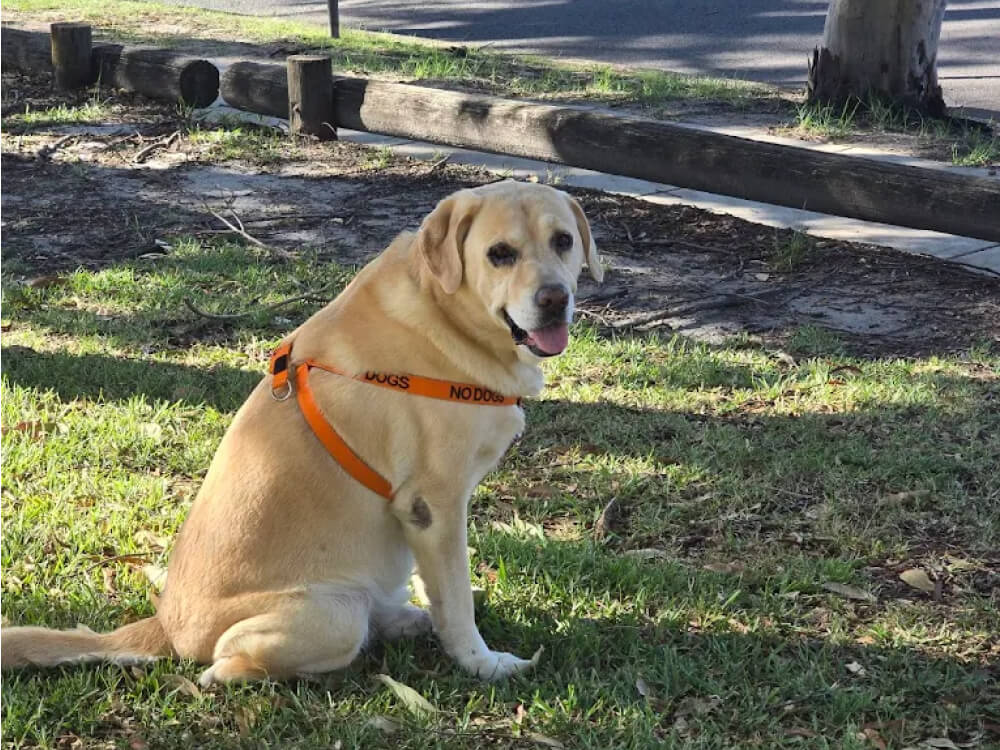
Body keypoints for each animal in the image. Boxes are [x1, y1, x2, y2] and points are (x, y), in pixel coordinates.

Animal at [1, 180, 602, 684]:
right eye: (500, 253)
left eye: (564, 240)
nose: (555, 299)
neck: (446, 312)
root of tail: (164, 628)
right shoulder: (433, 505)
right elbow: (456, 602)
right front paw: (483, 663)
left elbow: (443, 590)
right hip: (333, 611)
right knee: (231, 661)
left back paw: (404, 618)